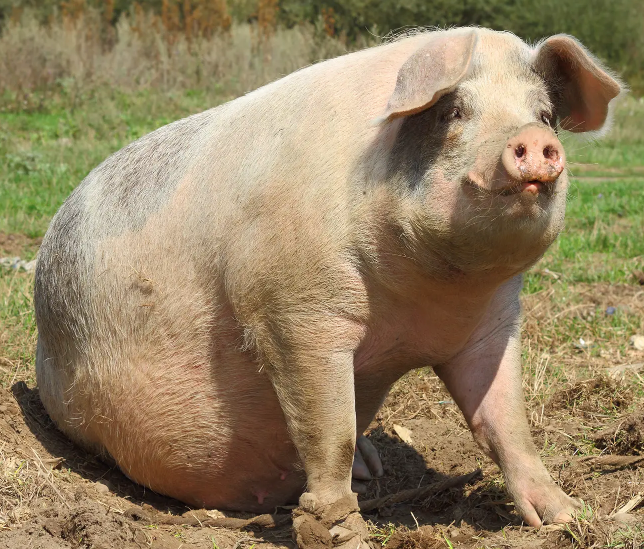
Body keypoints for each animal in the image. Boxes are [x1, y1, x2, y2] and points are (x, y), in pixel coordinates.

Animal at [36, 28, 624, 548]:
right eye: (453, 112)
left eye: (544, 115)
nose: (535, 139)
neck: (424, 299)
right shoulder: (292, 310)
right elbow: (329, 431)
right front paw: (343, 534)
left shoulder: (492, 324)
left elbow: (507, 423)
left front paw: (571, 518)